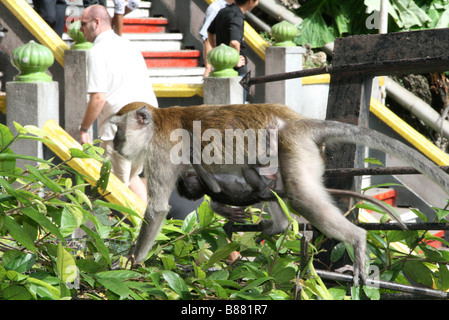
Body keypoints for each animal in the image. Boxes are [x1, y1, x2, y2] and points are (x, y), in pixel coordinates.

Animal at [110, 102, 448, 284]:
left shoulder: (159, 153)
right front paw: (225, 209)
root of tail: (298, 121)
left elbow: (157, 209)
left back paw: (357, 239)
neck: (156, 125)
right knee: (278, 189)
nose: (114, 144)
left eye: (118, 130)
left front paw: (131, 262)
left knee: (299, 196)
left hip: (294, 148)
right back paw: (279, 225)